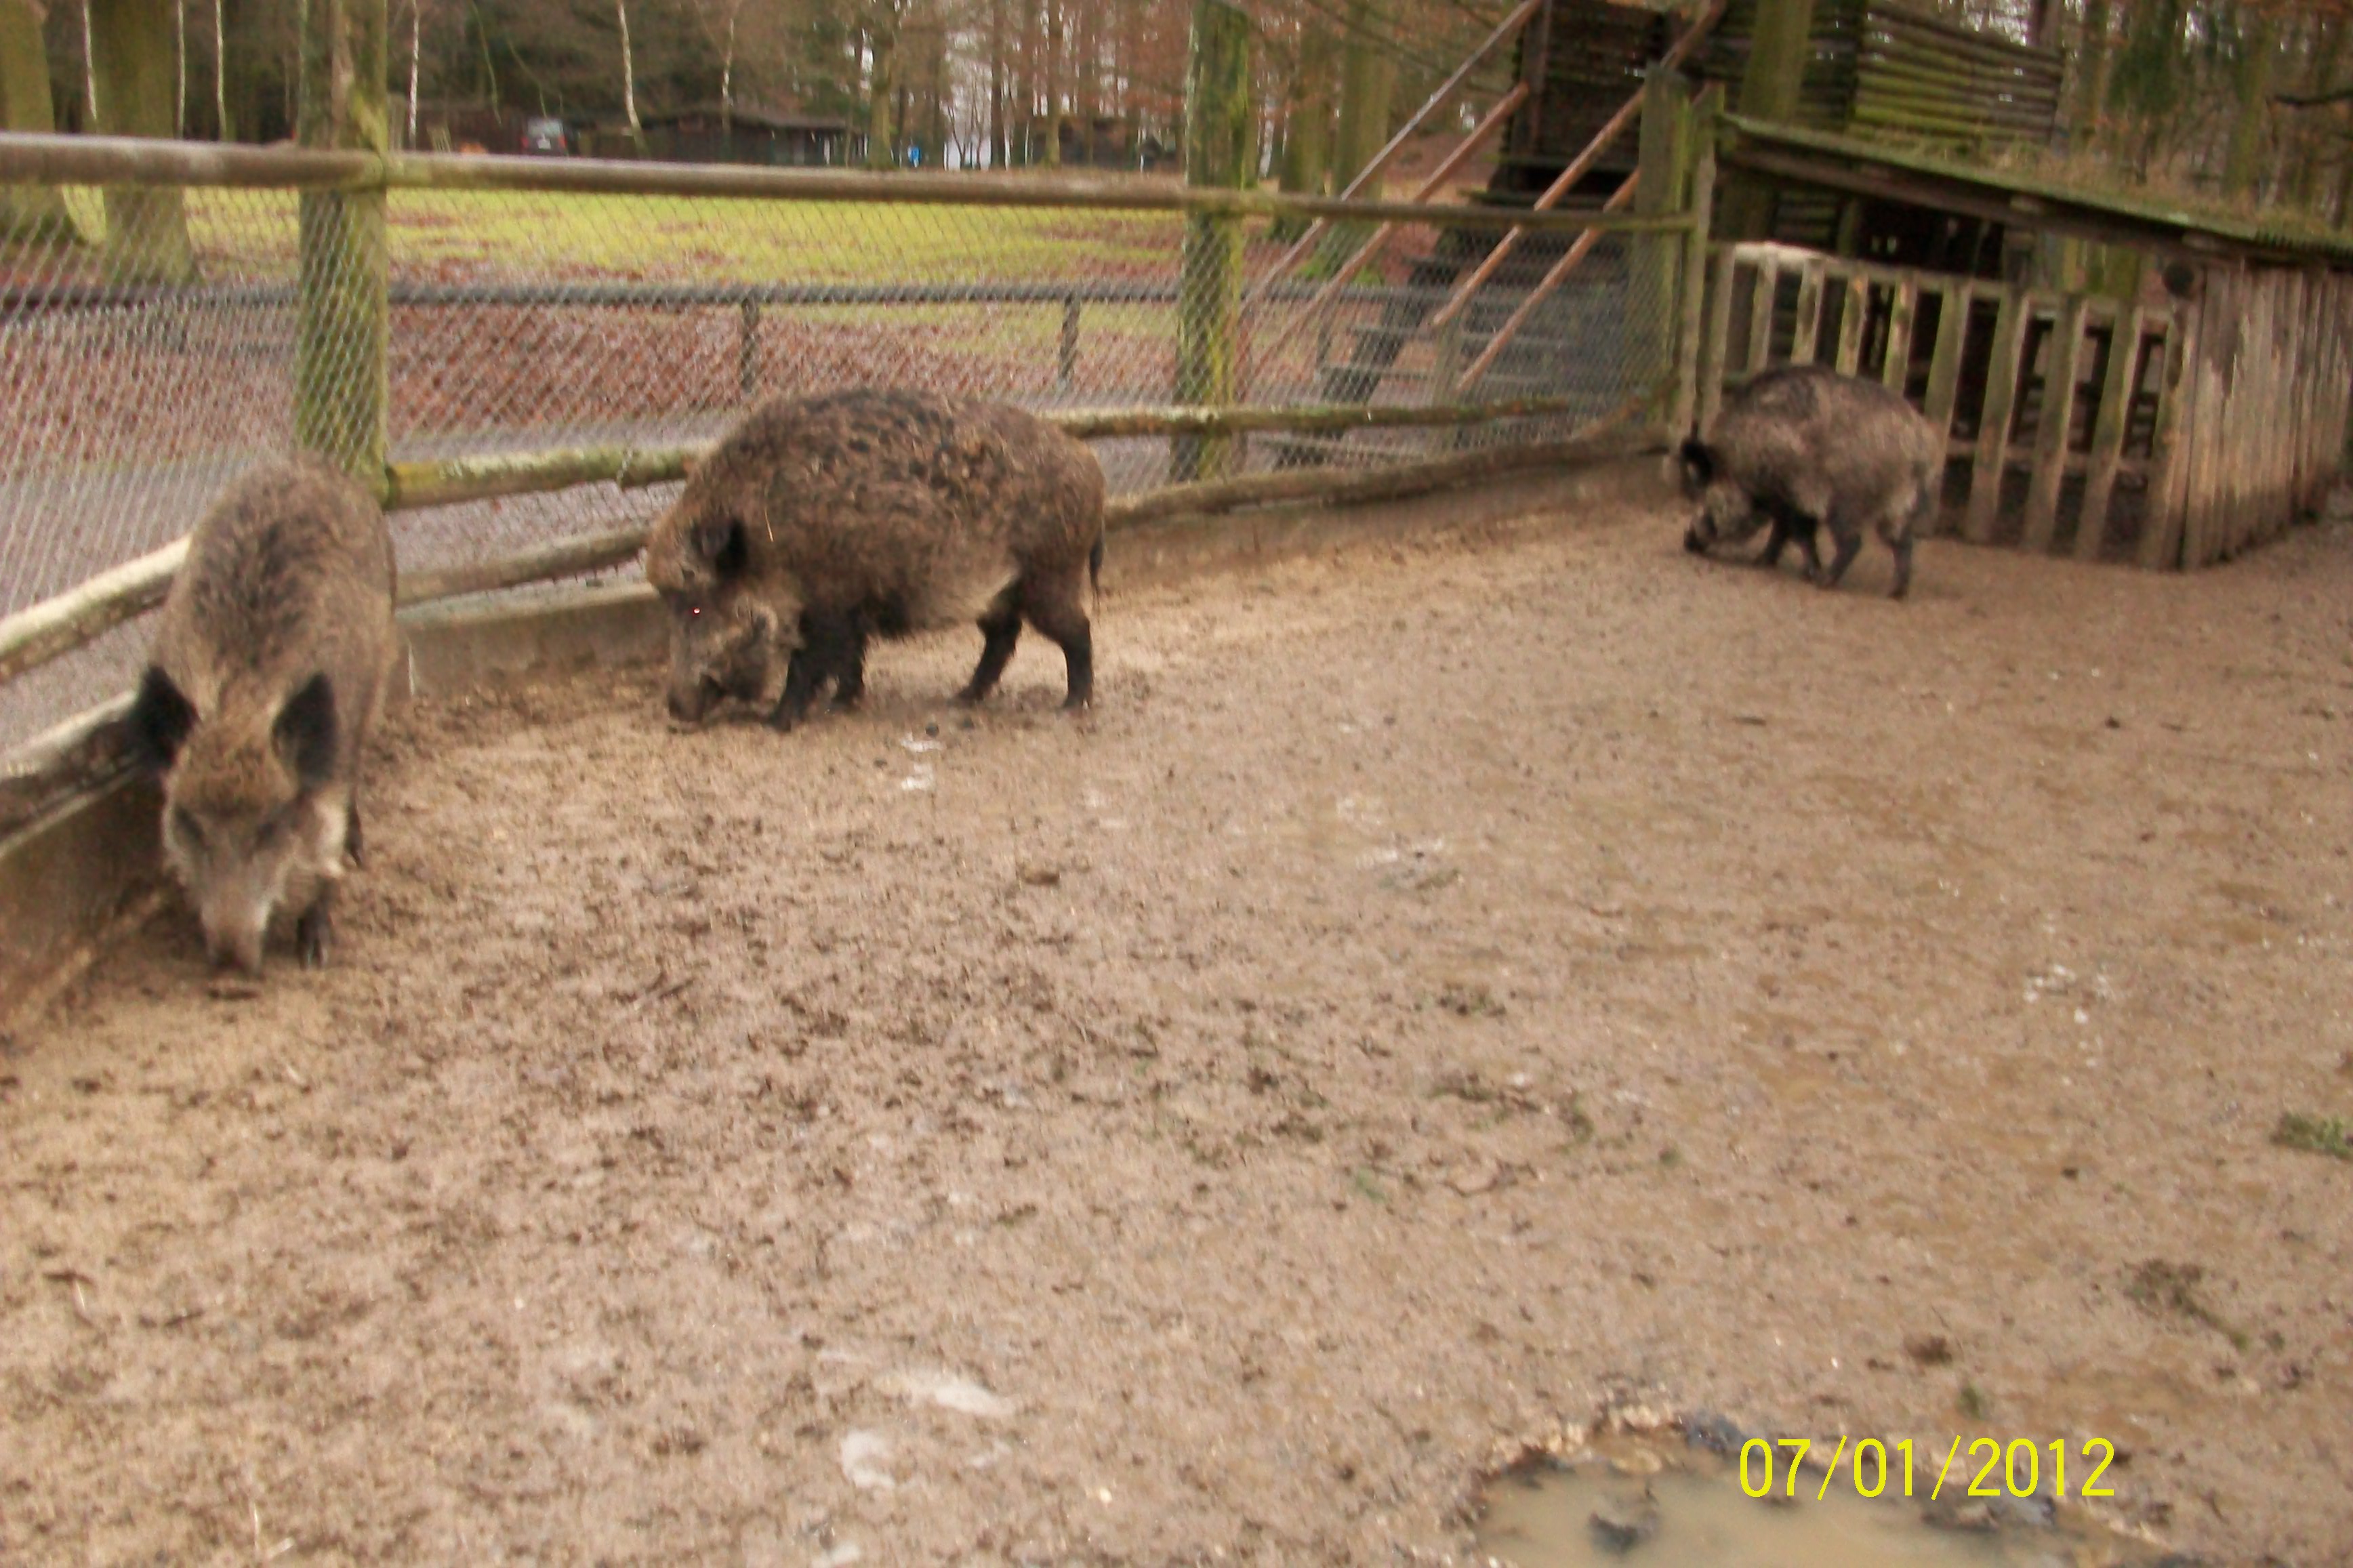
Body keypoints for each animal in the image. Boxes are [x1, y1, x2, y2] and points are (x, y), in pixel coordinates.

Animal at [124, 457, 399, 974]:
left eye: (272, 823)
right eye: (190, 822)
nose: (232, 960)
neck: (240, 704)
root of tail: (313, 463)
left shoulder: (330, 771)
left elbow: (325, 846)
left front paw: (314, 955)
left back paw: (358, 852)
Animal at [644, 388, 1105, 729]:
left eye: (695, 607)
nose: (674, 709)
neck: (768, 539)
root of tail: (1089, 464)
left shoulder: (827, 602)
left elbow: (809, 663)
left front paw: (777, 722)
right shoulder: (851, 607)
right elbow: (850, 658)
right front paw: (842, 703)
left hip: (1050, 574)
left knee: (1077, 630)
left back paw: (1071, 706)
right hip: (1000, 591)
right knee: (1003, 637)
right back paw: (960, 698)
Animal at [1677, 364, 1942, 599]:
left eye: (1704, 492)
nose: (1687, 540)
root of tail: (1921, 444)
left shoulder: (1793, 497)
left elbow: (1799, 535)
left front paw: (1807, 572)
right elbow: (1782, 533)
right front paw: (1761, 561)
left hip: (1847, 503)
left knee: (1853, 542)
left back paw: (1825, 581)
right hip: (1899, 504)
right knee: (1903, 541)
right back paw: (1895, 592)